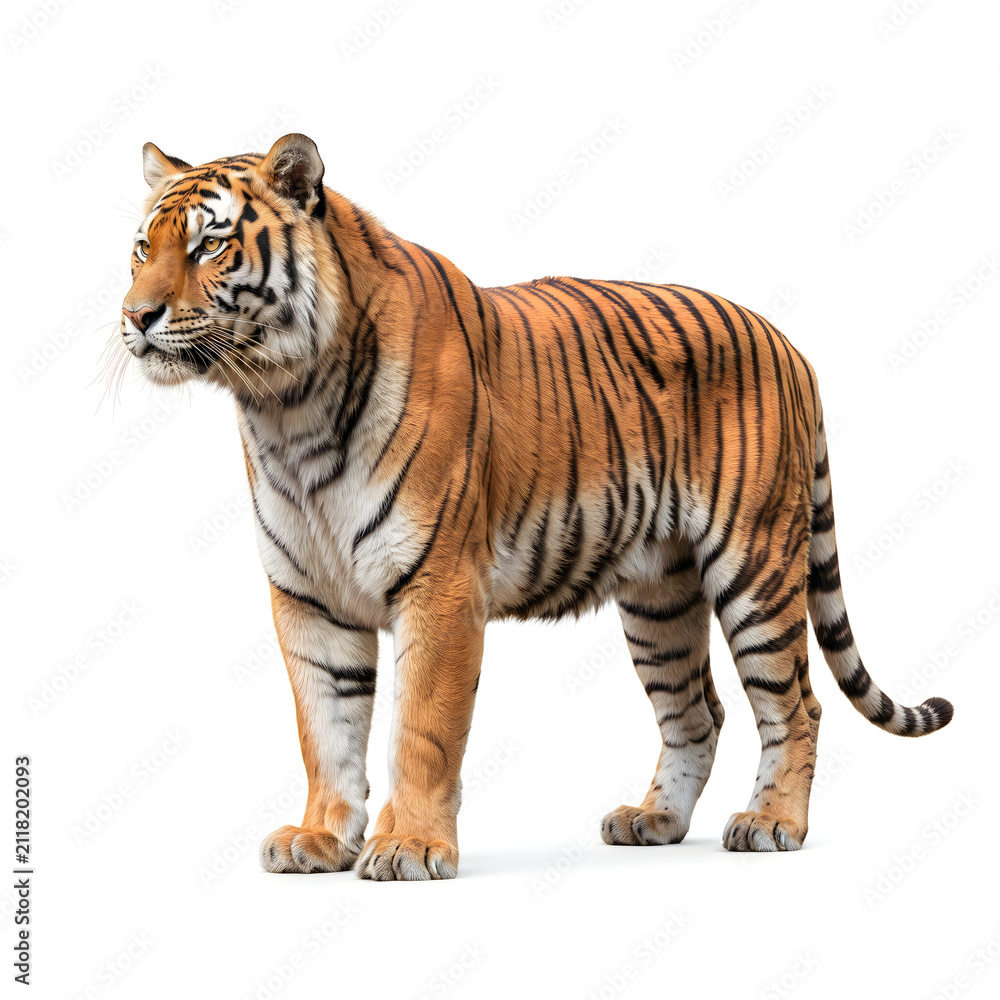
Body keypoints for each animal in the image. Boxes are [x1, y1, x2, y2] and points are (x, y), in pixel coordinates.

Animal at [119, 132, 953, 880]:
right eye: (141, 248)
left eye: (209, 247)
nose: (135, 316)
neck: (284, 407)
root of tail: (788, 344)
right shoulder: (307, 596)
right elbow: (324, 728)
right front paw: (320, 838)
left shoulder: (440, 584)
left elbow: (420, 728)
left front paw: (409, 846)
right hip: (659, 596)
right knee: (697, 711)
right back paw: (654, 820)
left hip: (755, 565)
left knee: (795, 704)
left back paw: (772, 824)